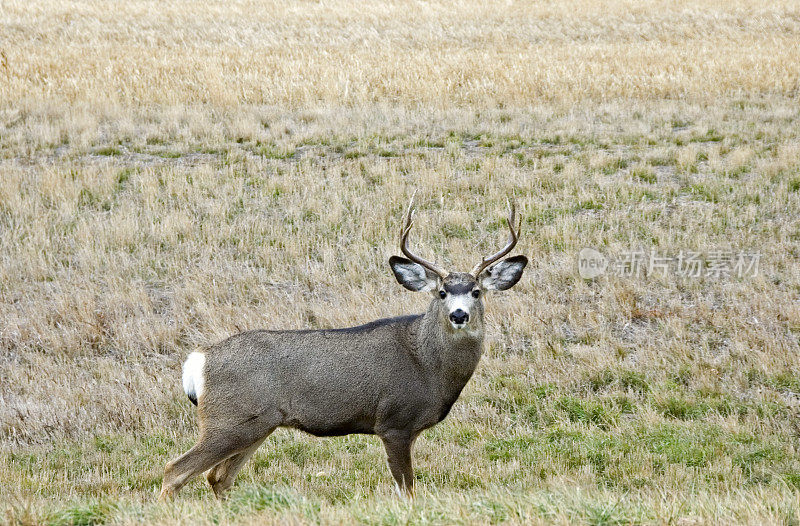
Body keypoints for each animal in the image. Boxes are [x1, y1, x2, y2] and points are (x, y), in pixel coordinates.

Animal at [159, 197, 528, 500]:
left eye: (477, 291)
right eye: (441, 293)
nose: (459, 314)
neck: (428, 366)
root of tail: (199, 359)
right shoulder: (393, 421)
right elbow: (407, 489)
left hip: (256, 425)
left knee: (218, 478)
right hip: (227, 419)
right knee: (175, 471)